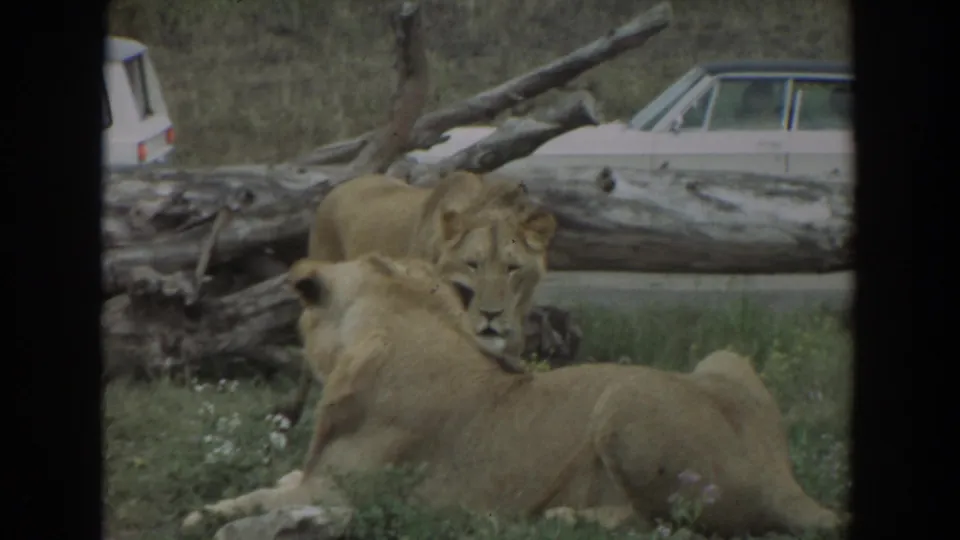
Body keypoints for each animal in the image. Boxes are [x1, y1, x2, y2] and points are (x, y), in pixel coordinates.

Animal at [186, 255, 844, 538]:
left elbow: (263, 503)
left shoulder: (341, 493)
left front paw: (210, 517)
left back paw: (562, 516)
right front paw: (214, 508)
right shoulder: (312, 479)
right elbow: (264, 487)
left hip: (622, 400)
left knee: (662, 522)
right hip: (722, 359)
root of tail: (783, 478)